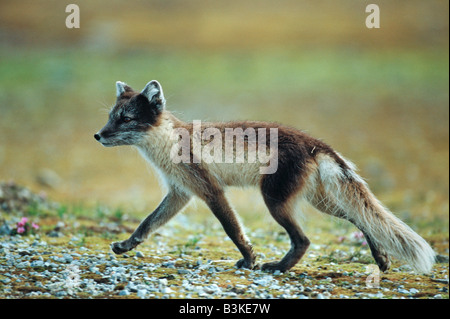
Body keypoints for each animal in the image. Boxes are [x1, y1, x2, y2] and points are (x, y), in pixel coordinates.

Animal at [95, 81, 436, 274]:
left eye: (126, 119)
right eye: (111, 117)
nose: (97, 135)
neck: (169, 143)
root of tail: (316, 144)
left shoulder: (210, 191)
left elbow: (233, 230)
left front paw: (249, 260)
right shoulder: (181, 192)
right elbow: (147, 224)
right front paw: (126, 245)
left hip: (275, 202)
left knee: (304, 240)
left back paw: (279, 267)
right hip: (319, 201)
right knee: (361, 219)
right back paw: (381, 258)